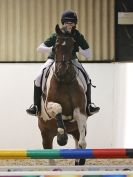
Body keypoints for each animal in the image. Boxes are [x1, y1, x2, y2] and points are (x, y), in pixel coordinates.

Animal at [37, 24, 88, 165]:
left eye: (73, 45)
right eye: (56, 45)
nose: (61, 70)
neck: (64, 80)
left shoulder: (80, 110)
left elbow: (82, 143)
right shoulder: (48, 104)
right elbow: (58, 107)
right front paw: (62, 137)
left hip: (75, 130)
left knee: (78, 141)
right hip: (45, 133)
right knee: (49, 154)